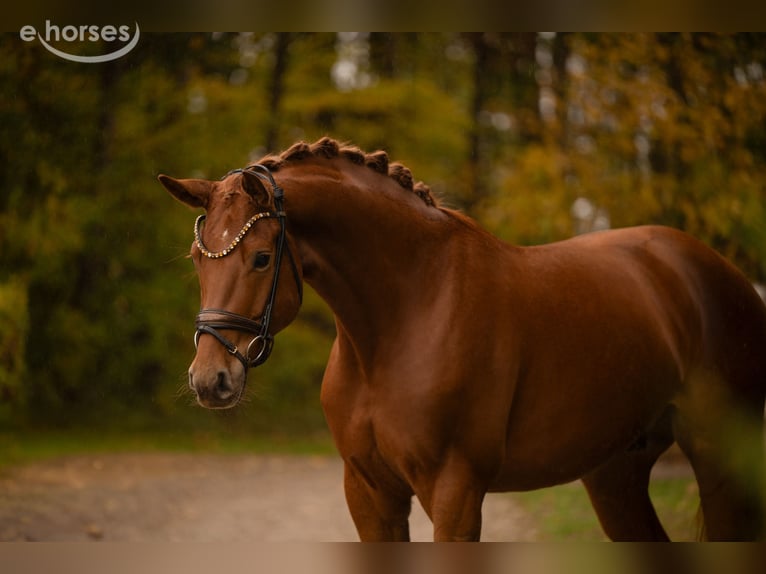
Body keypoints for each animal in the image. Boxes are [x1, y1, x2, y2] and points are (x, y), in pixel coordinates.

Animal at [159, 137, 766, 541]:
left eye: (262, 257)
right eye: (196, 259)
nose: (210, 380)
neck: (408, 313)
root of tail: (723, 275)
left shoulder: (455, 491)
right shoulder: (369, 493)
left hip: (720, 463)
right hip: (615, 474)